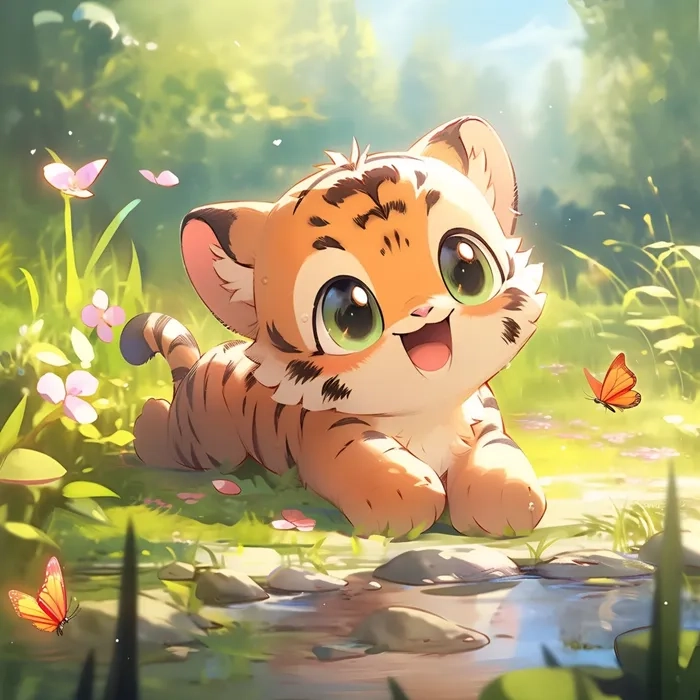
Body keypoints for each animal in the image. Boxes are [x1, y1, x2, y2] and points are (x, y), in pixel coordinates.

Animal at [120, 115, 547, 538]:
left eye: (466, 267)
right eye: (350, 313)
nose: (424, 312)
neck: (426, 411)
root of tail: (201, 361)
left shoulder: (485, 417)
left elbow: (498, 452)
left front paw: (506, 494)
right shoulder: (333, 437)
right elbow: (374, 462)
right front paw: (407, 494)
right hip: (200, 441)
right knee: (164, 435)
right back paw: (147, 418)